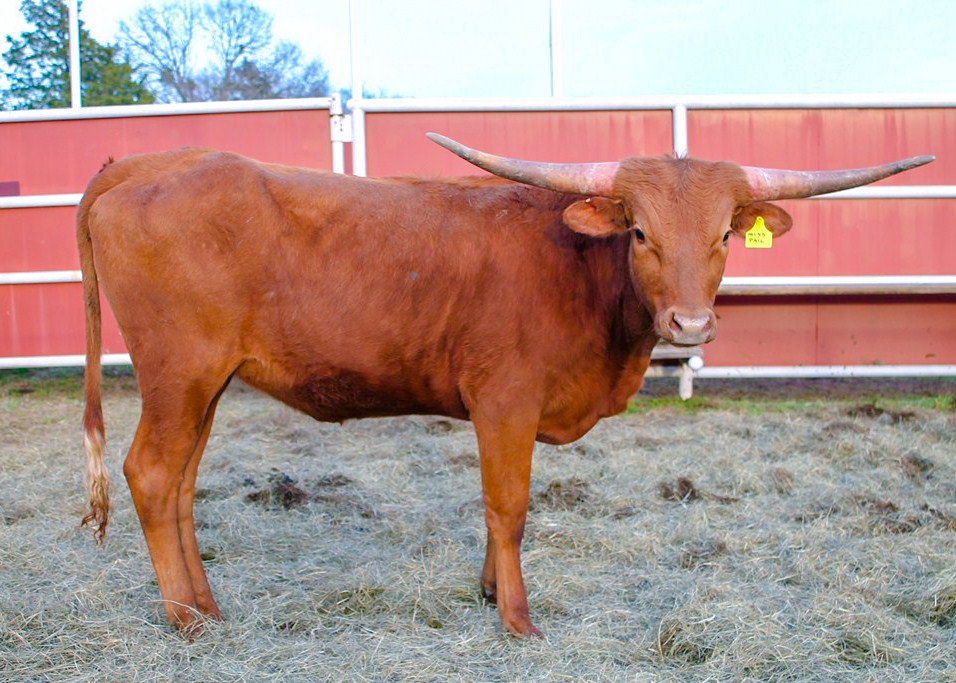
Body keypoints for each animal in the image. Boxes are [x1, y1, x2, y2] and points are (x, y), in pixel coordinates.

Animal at [76, 135, 931, 637]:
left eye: (726, 232)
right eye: (640, 231)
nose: (690, 325)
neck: (576, 273)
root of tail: (144, 163)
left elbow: (498, 513)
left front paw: (490, 593)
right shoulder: (505, 401)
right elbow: (509, 508)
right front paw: (518, 619)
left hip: (206, 381)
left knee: (181, 484)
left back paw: (208, 606)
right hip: (180, 371)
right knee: (150, 473)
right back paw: (184, 620)